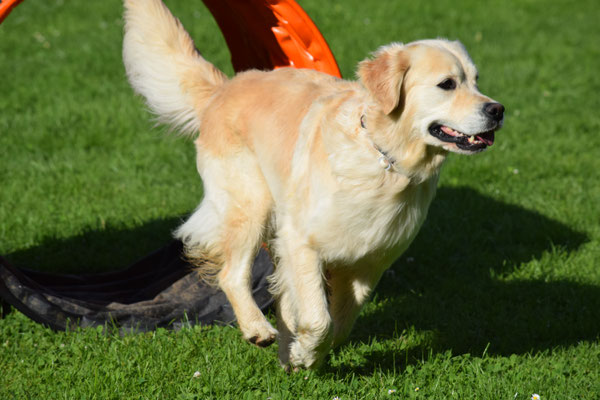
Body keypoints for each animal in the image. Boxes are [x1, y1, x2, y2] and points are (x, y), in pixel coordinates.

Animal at [122, 0, 502, 368]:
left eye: (476, 81)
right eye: (447, 84)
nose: (497, 110)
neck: (384, 161)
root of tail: (225, 88)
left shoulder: (369, 263)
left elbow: (340, 324)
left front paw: (305, 355)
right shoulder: (301, 242)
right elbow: (320, 318)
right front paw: (306, 351)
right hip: (251, 203)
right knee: (232, 273)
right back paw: (257, 328)